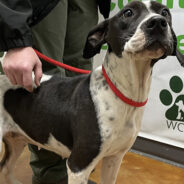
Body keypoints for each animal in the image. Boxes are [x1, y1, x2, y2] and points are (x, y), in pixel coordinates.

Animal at [0, 1, 184, 184]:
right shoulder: (78, 166)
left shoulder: (114, 159)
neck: (125, 93)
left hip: (16, 141)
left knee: (6, 168)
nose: (158, 22)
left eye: (165, 12)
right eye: (128, 12)